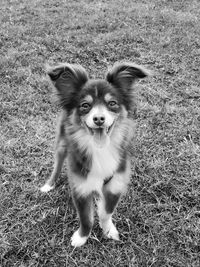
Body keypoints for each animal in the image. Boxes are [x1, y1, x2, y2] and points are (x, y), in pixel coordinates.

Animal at [40, 61, 148, 248]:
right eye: (85, 105)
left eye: (112, 103)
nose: (98, 119)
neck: (100, 150)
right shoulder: (80, 187)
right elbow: (86, 219)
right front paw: (81, 238)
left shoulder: (115, 184)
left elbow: (106, 212)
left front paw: (108, 230)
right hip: (61, 144)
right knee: (57, 165)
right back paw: (49, 184)